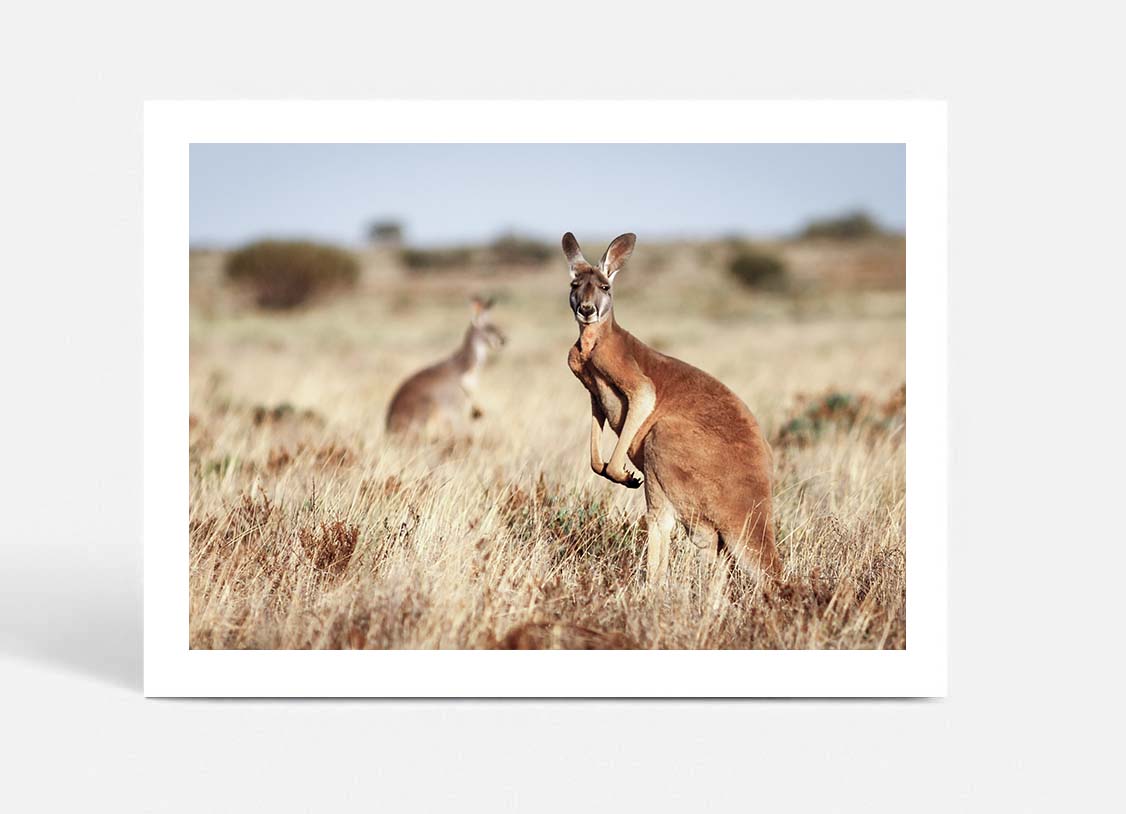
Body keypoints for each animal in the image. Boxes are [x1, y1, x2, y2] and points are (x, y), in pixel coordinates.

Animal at [385, 296, 506, 435]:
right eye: (490, 328)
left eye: (496, 327)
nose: (504, 340)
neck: (466, 366)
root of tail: (389, 430)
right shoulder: (455, 404)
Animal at [563, 232, 781, 585]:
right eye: (574, 284)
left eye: (605, 287)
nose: (586, 310)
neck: (593, 341)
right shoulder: (593, 395)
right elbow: (595, 455)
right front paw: (611, 469)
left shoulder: (634, 380)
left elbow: (643, 399)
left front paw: (623, 474)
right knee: (716, 549)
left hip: (663, 440)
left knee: (665, 523)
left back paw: (651, 587)